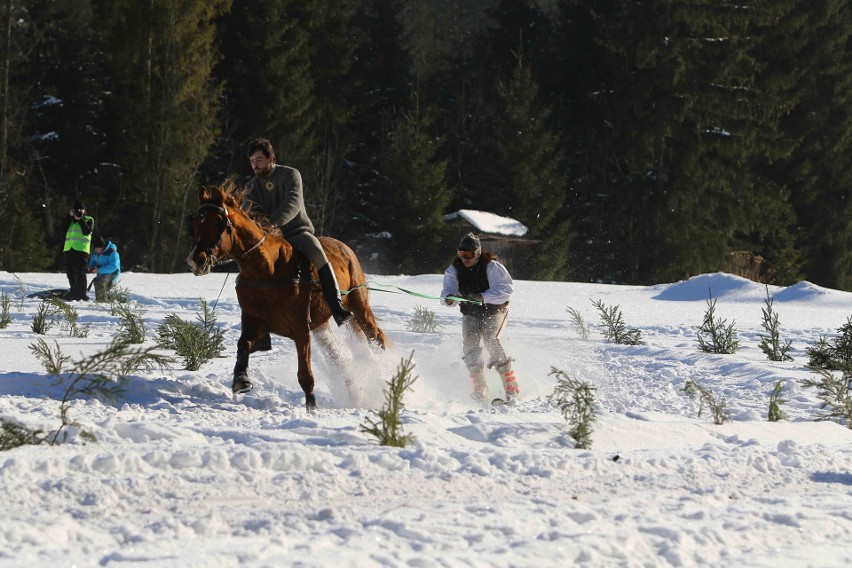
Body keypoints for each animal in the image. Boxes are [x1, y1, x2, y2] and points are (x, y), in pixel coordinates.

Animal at [187, 182, 390, 408]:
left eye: (217, 223)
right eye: (195, 223)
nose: (195, 260)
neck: (267, 270)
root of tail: (345, 248)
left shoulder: (301, 330)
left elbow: (306, 376)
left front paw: (312, 408)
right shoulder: (255, 323)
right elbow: (242, 345)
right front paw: (241, 379)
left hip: (358, 306)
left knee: (376, 337)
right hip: (321, 325)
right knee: (338, 358)